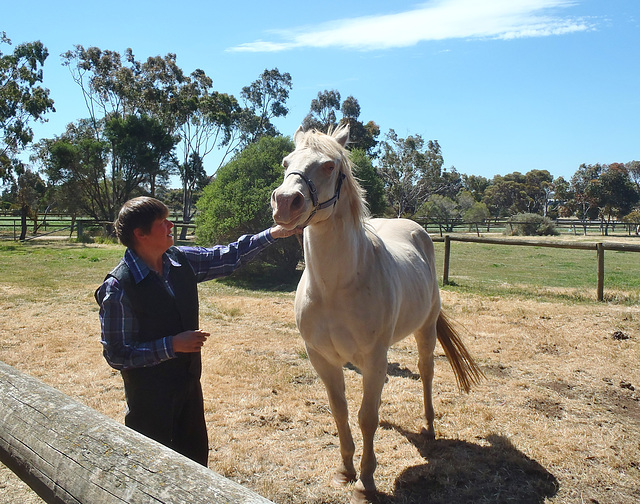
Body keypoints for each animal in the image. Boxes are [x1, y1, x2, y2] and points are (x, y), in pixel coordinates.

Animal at [268, 126, 482, 504]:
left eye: (328, 165)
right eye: (285, 162)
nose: (285, 202)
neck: (334, 287)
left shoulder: (372, 356)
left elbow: (366, 417)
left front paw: (365, 481)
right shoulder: (322, 358)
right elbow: (340, 411)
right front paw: (345, 470)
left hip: (425, 330)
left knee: (426, 373)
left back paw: (429, 427)